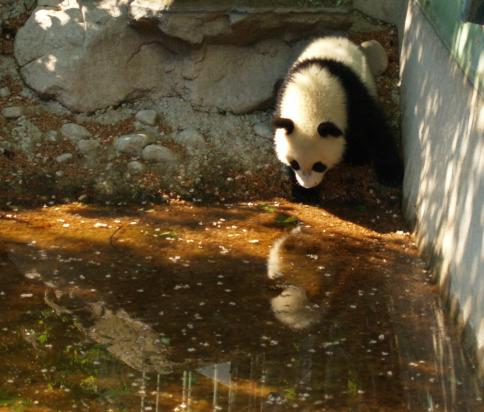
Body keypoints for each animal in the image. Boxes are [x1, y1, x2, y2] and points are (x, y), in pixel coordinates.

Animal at [272, 37, 404, 201]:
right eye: (295, 164)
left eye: (319, 165)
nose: (307, 185)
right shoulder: (283, 99)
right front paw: (304, 193)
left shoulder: (350, 95)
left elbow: (374, 127)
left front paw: (391, 175)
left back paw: (357, 156)